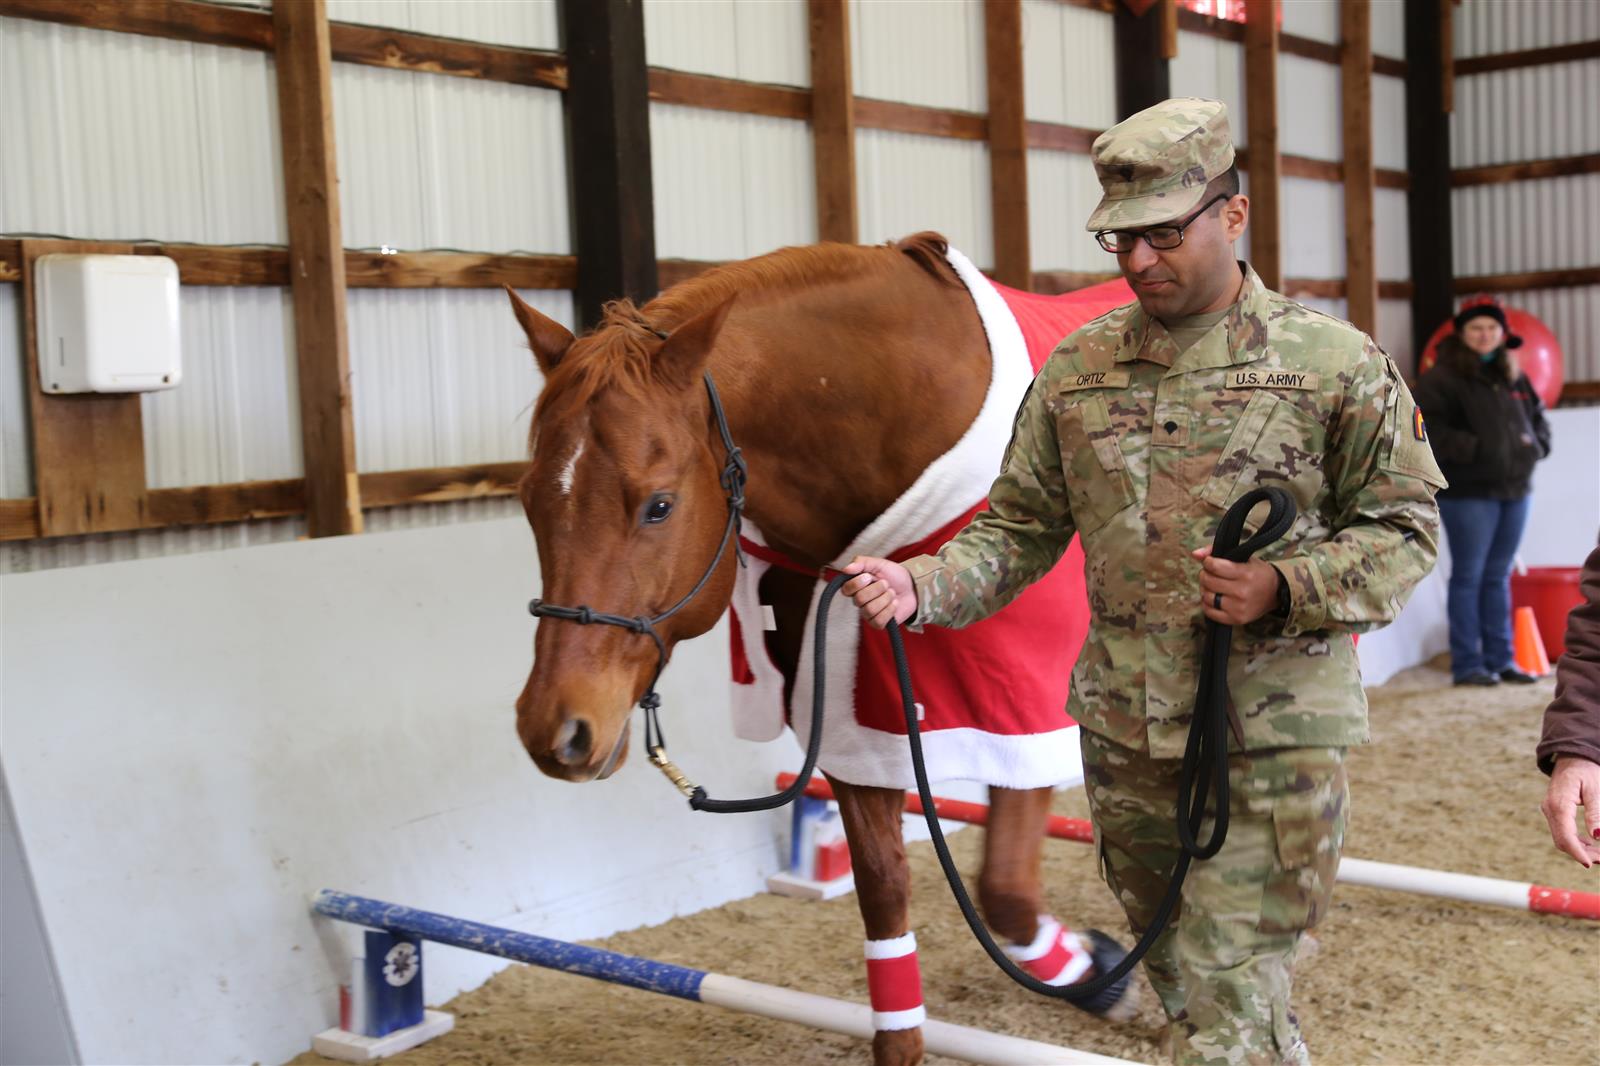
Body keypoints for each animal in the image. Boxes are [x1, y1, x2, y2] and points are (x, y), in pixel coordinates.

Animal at [507, 234, 1131, 1065]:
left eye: (659, 505)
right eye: (530, 500)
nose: (557, 729)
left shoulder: (1025, 713)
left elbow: (1006, 891)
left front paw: (1106, 976)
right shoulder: (859, 730)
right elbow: (889, 915)